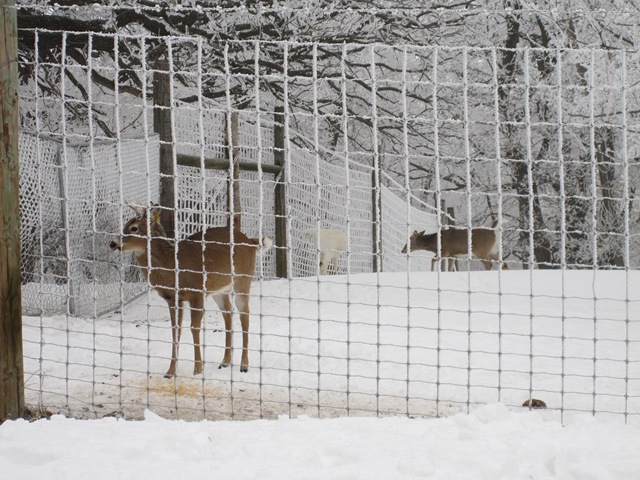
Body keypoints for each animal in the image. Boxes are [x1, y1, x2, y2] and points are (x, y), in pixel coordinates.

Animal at [110, 204, 272, 377]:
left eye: (133, 228)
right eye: (126, 224)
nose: (112, 243)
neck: (172, 266)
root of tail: (251, 242)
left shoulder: (197, 292)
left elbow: (194, 328)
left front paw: (198, 369)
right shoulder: (173, 298)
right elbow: (175, 330)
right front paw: (170, 371)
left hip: (242, 279)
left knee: (244, 314)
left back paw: (244, 365)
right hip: (219, 289)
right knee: (228, 312)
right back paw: (225, 361)